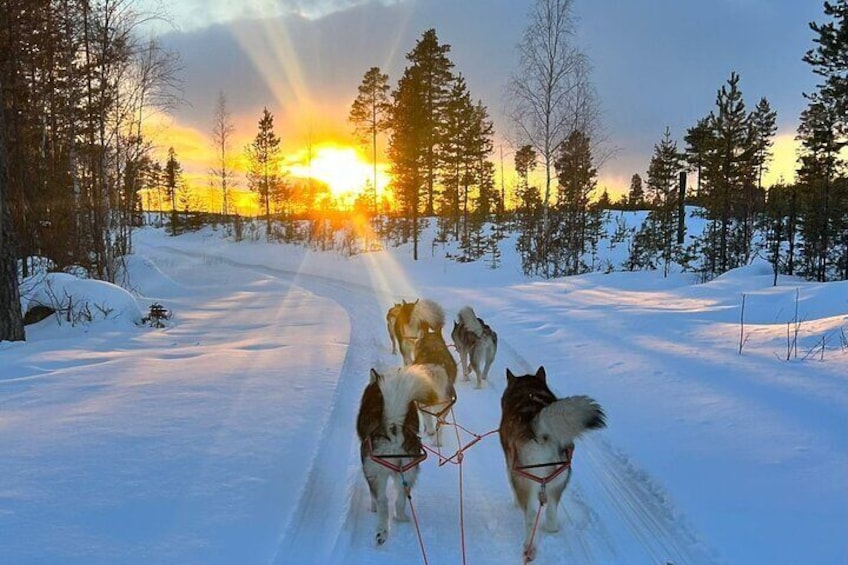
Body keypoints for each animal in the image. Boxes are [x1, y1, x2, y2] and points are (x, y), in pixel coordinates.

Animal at [356, 366, 438, 548]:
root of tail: (394, 427)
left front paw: (372, 507)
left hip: (375, 473)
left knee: (382, 502)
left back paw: (381, 529)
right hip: (408, 471)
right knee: (400, 500)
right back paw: (399, 520)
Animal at [500, 366, 608, 560]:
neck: (529, 392)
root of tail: (539, 432)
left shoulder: (510, 466)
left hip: (527, 478)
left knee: (530, 514)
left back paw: (528, 546)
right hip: (559, 478)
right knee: (551, 510)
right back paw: (551, 530)